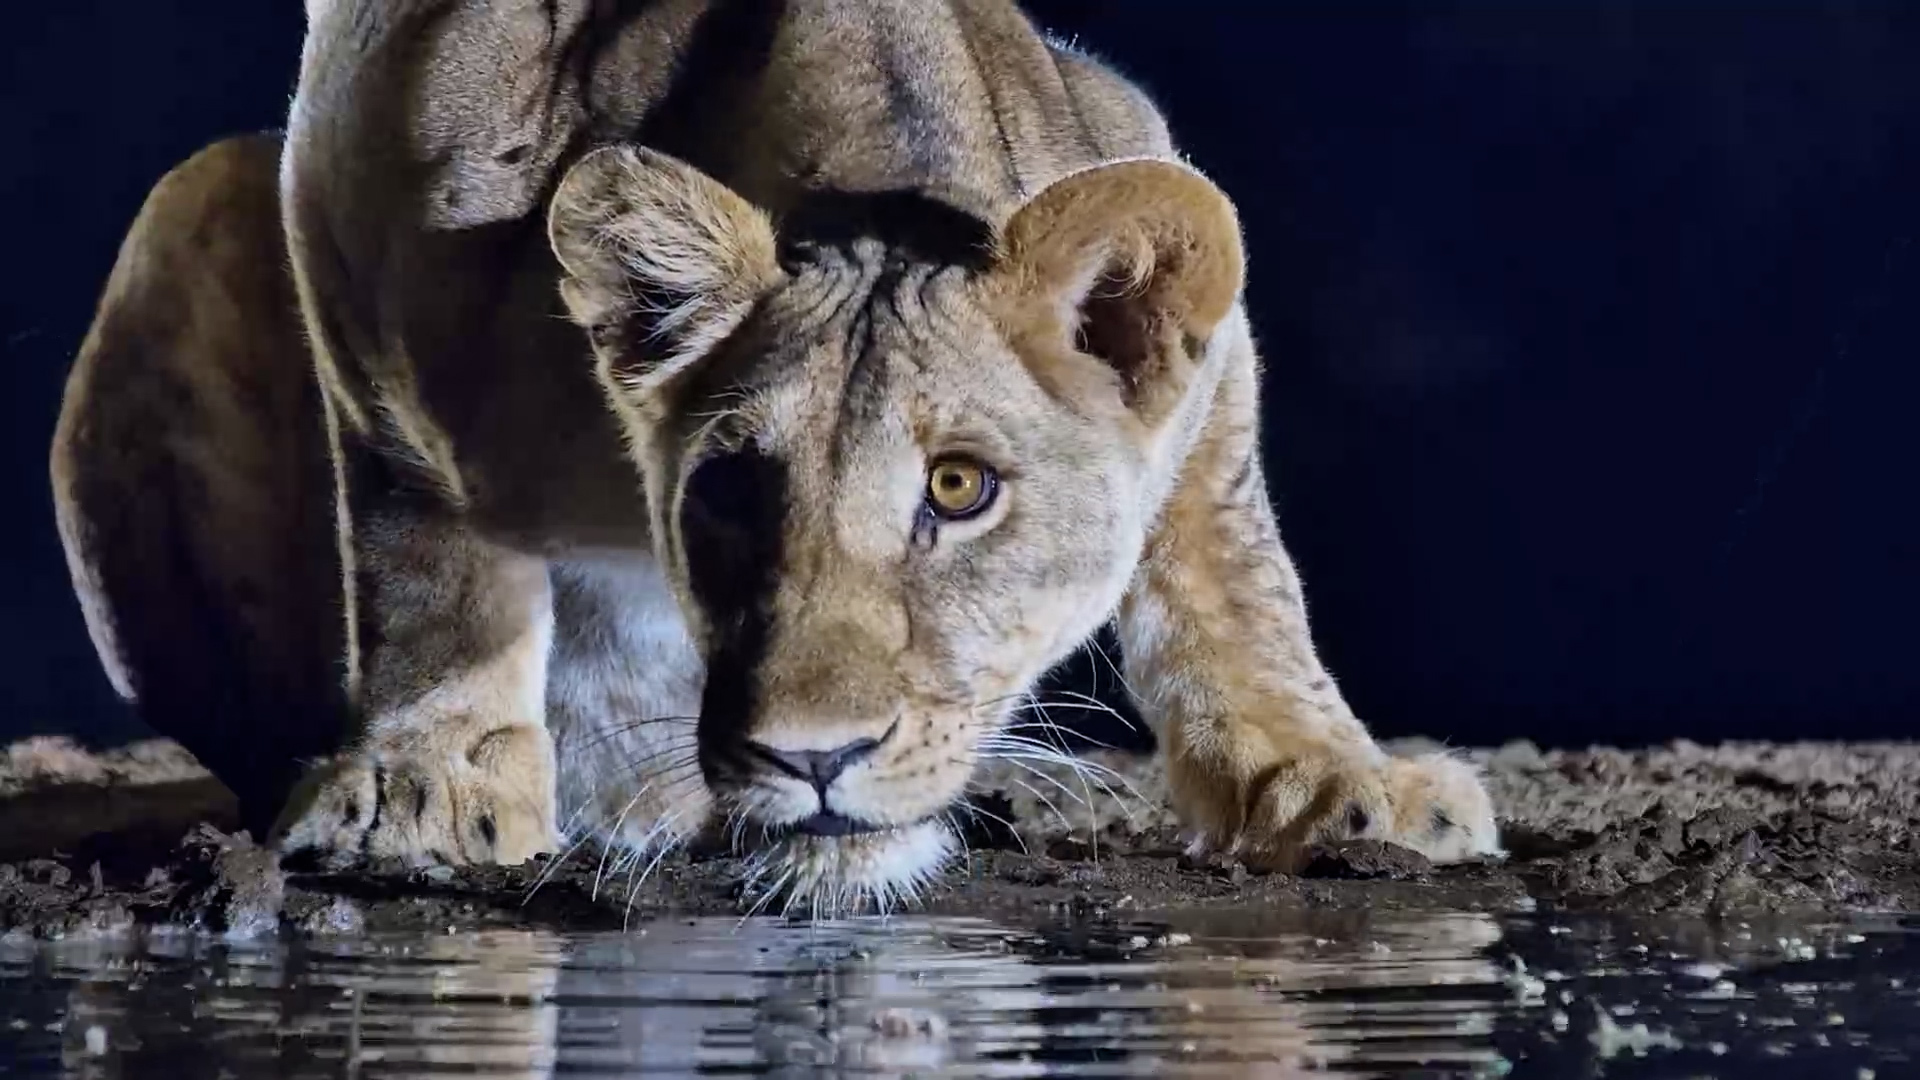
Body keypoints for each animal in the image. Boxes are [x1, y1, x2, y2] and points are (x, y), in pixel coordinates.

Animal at [50, 0, 1501, 913]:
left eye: (960, 488)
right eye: (730, 489)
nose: (813, 760)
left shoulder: (1188, 280)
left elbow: (1231, 563)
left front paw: (1328, 776)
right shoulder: (361, 160)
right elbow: (424, 529)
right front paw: (432, 777)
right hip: (198, 192)